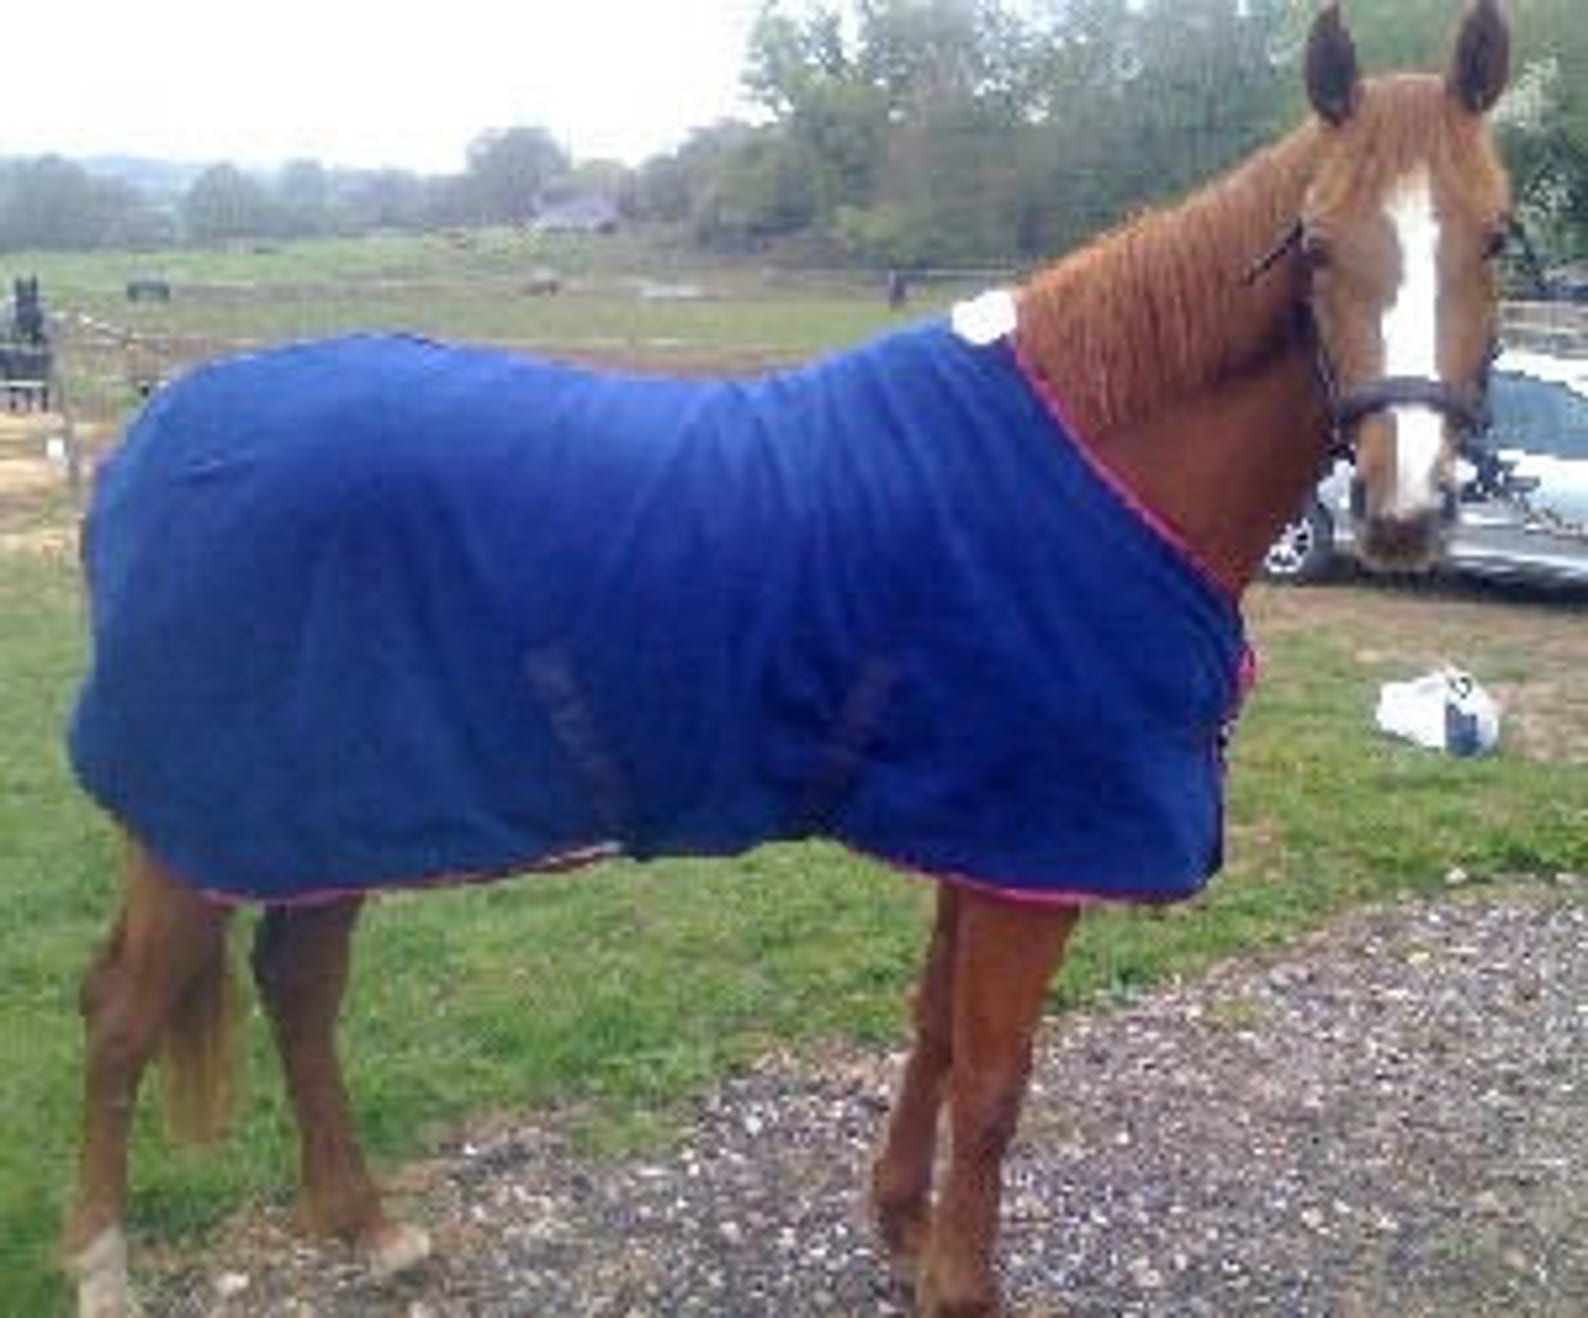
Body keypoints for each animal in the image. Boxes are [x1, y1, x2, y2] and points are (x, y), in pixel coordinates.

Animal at [60, 3, 1513, 1315]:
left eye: (1496, 236)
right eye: (1313, 245)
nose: (1405, 509)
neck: (1097, 461)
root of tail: (156, 436)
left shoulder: (987, 833)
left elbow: (936, 1032)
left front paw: (899, 1220)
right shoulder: (1037, 849)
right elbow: (996, 1080)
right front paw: (960, 1285)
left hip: (338, 807)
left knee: (298, 987)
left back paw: (365, 1226)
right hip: (202, 825)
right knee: (124, 1012)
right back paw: (105, 1266)